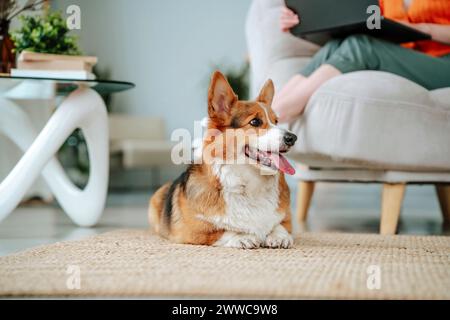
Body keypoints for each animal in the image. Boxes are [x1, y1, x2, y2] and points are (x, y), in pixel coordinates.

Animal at [149, 71, 298, 249]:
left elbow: (280, 226)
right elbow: (221, 231)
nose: (293, 138)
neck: (251, 186)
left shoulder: (286, 219)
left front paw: (279, 237)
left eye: (276, 121)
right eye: (255, 121)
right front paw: (243, 237)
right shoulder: (191, 231)